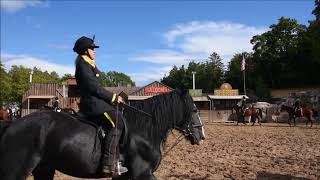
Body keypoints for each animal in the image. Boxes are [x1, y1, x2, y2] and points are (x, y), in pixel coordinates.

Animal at [0, 90, 204, 180]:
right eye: (194, 109)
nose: (201, 135)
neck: (143, 130)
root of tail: (12, 125)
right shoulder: (143, 174)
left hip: (44, 169)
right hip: (15, 171)